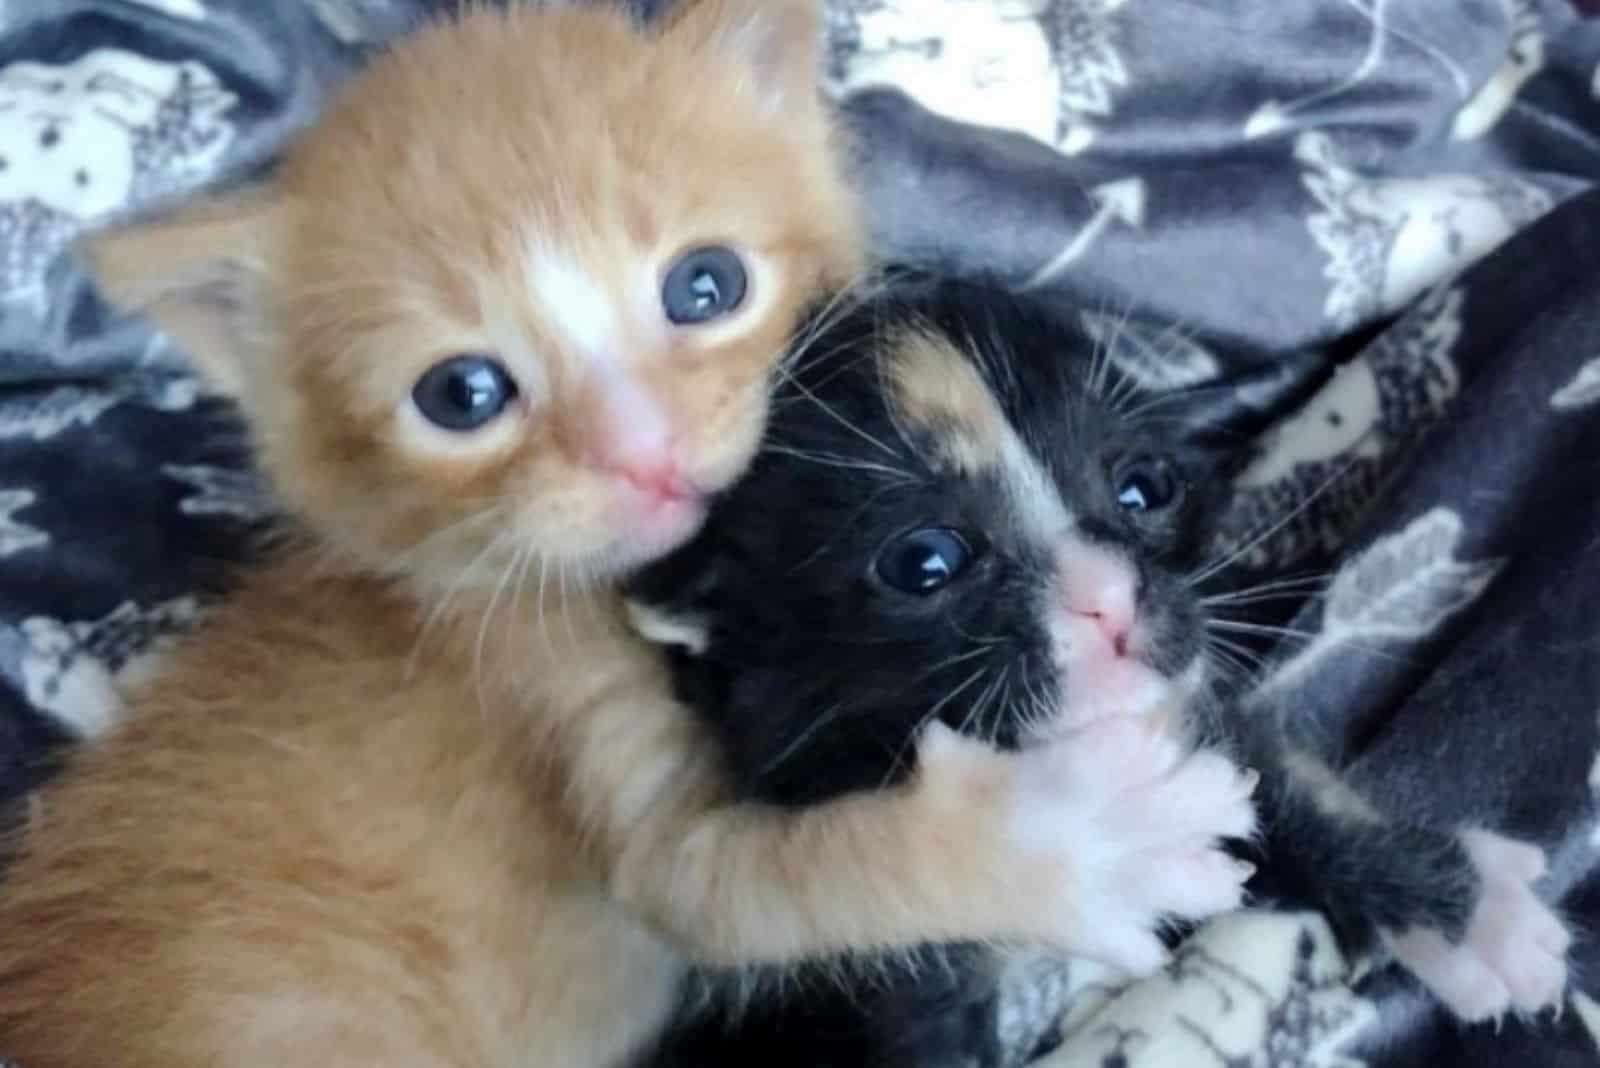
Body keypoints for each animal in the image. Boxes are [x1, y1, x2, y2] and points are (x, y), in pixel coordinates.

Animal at [0, 4, 1254, 1061]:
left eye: (705, 286)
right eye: (461, 394)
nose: (642, 454)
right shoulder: (551, 689)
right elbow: (739, 883)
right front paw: (1096, 842)